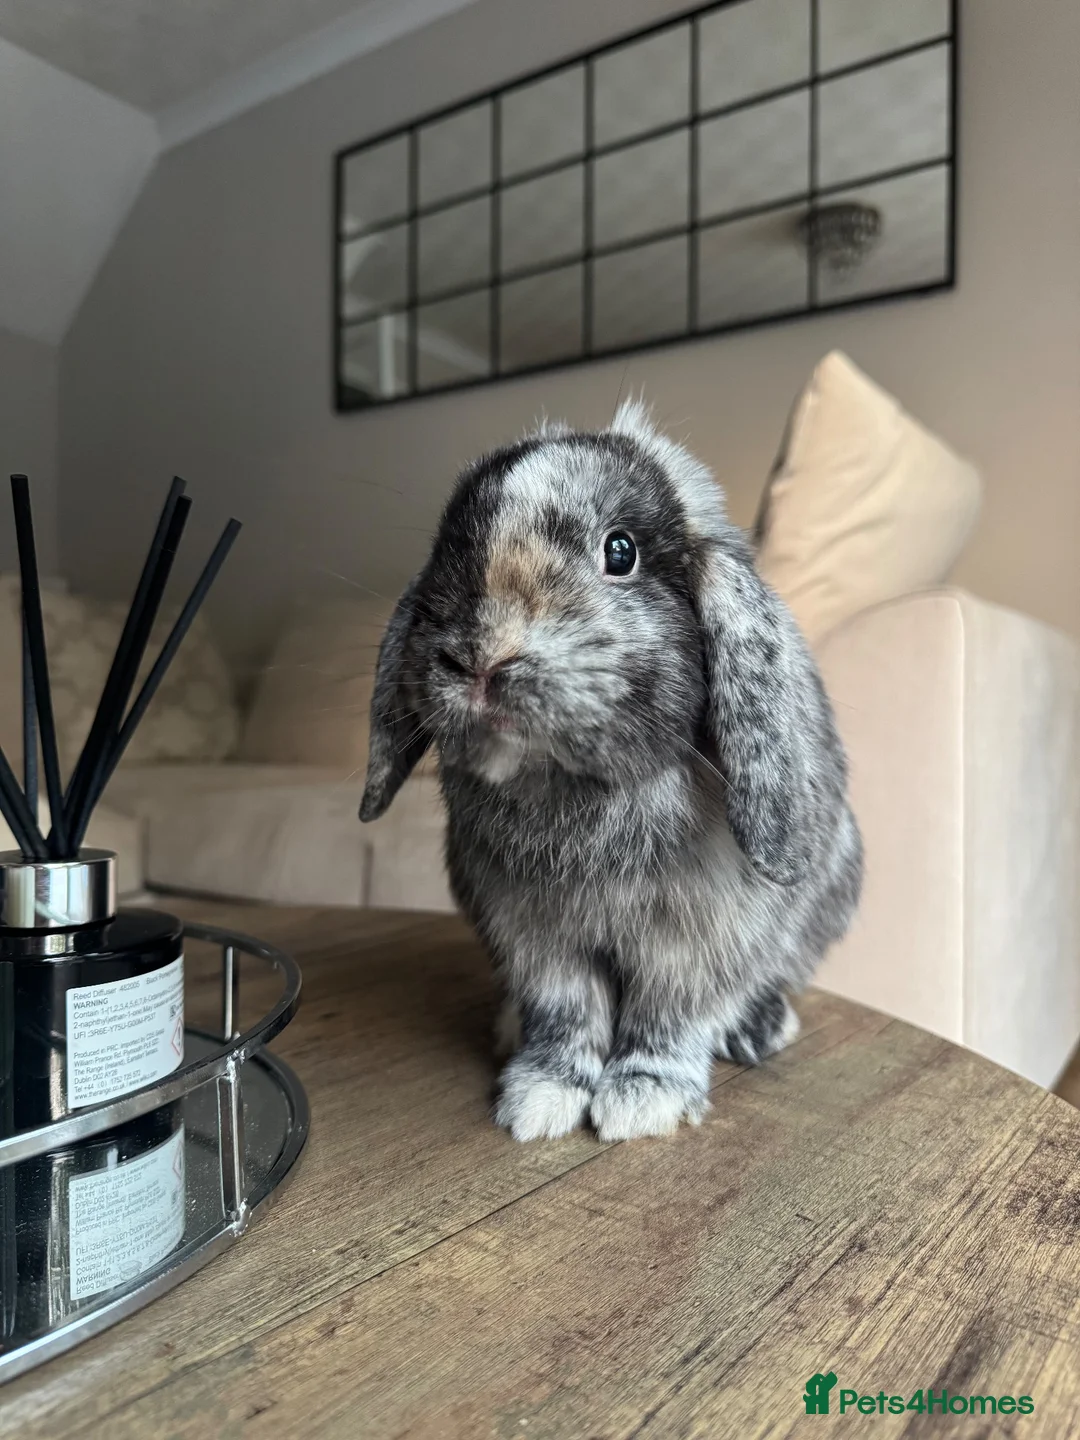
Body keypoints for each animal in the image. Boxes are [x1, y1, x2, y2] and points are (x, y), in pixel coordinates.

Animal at [360, 401, 862, 1142]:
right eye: (449, 551)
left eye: (619, 551)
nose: (479, 660)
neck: (566, 785)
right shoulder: (534, 939)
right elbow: (565, 1014)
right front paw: (538, 1098)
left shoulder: (694, 945)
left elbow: (665, 1019)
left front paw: (641, 1102)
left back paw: (759, 1029)